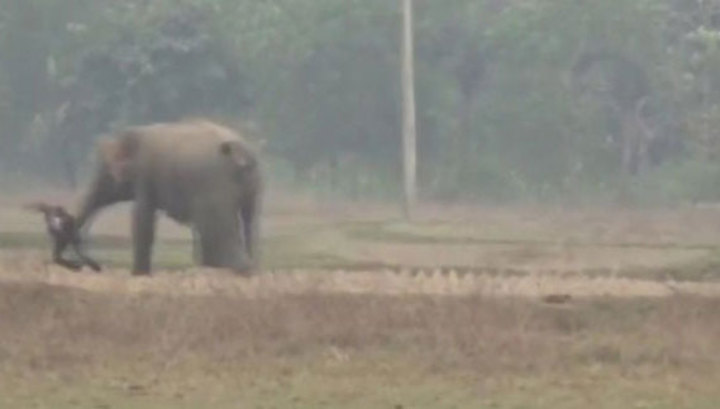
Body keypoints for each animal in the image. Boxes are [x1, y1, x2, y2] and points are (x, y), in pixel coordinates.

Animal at [69, 119, 262, 276]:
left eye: (106, 174)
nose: (89, 264)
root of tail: (241, 151)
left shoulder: (145, 173)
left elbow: (142, 217)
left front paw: (139, 274)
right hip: (253, 186)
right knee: (247, 222)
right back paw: (244, 267)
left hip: (214, 186)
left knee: (216, 226)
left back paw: (236, 268)